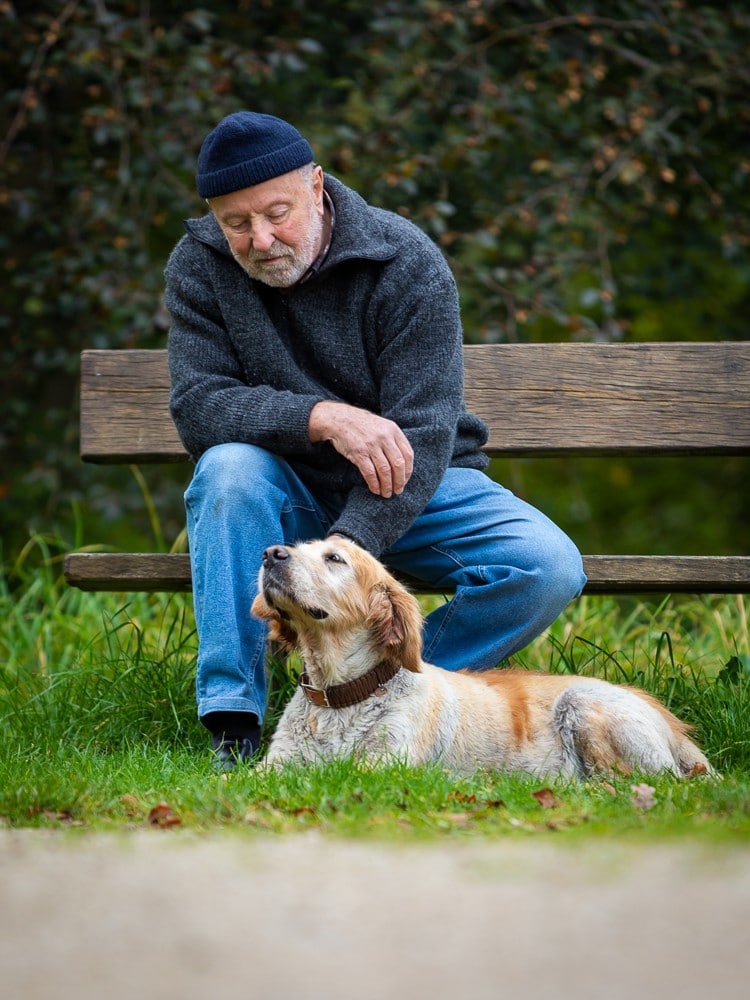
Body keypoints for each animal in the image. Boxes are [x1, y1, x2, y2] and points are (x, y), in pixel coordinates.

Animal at [251, 536, 712, 776]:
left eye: (335, 558)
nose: (271, 553)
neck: (341, 694)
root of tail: (674, 729)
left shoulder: (383, 766)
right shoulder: (273, 769)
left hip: (582, 704)